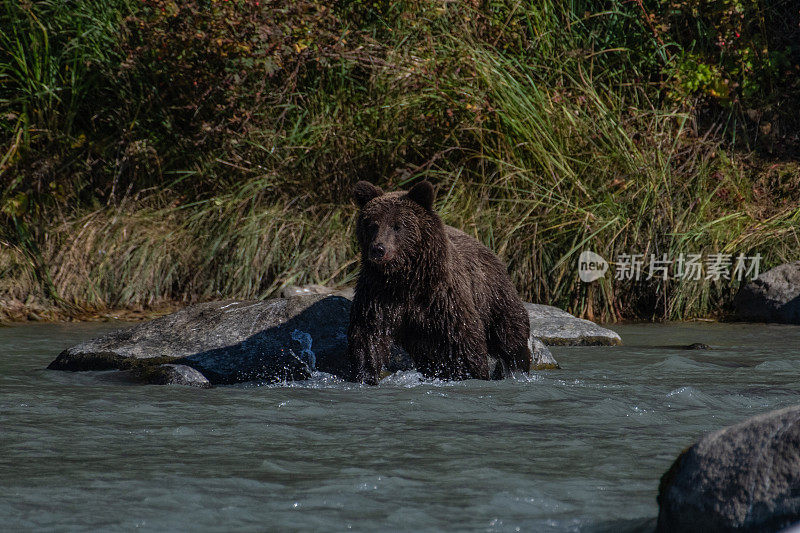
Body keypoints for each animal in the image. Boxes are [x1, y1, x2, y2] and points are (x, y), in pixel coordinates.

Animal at [348, 179, 532, 382]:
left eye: (397, 226)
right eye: (372, 224)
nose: (378, 249)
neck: (406, 279)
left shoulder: (442, 296)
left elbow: (464, 339)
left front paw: (473, 373)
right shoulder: (378, 293)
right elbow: (368, 333)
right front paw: (367, 373)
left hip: (492, 294)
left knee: (510, 334)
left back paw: (517, 367)